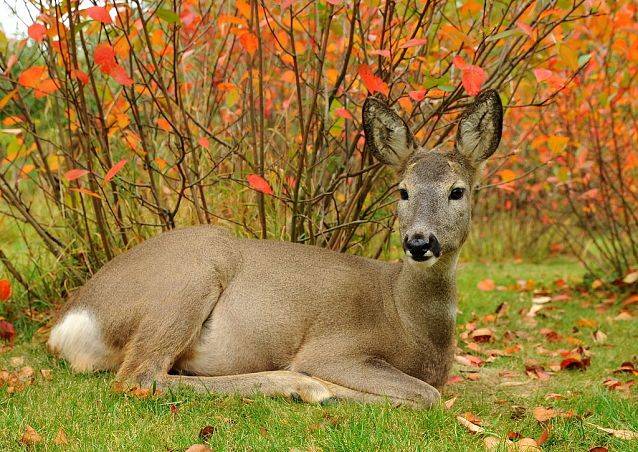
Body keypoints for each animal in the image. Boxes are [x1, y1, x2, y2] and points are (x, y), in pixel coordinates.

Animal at [47, 90, 502, 408]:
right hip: (187, 281)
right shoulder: (335, 348)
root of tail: (67, 324)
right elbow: (427, 395)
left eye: (457, 191)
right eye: (402, 191)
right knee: (139, 377)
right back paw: (302, 386)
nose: (419, 242)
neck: (410, 320)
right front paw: (330, 388)